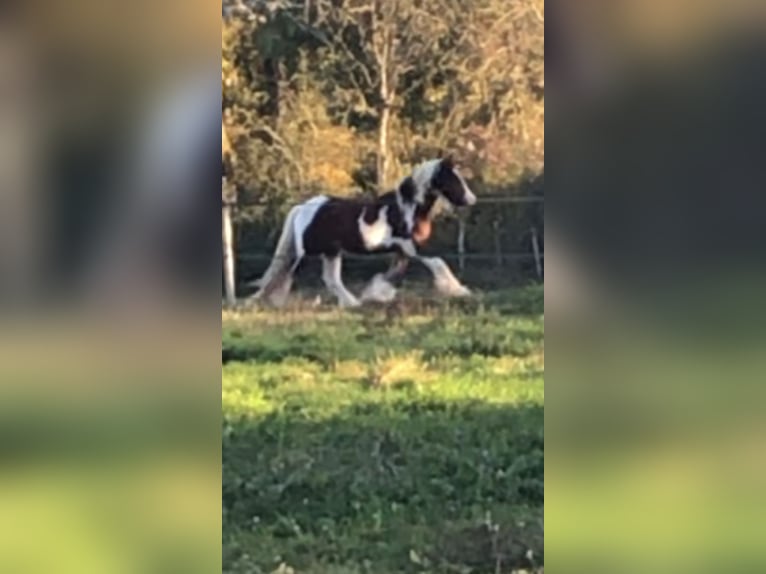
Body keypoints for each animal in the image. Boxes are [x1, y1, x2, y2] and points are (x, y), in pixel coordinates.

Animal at [252, 155, 476, 308]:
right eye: (453, 179)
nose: (471, 200)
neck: (409, 208)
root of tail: (303, 207)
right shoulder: (415, 248)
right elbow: (439, 263)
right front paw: (460, 291)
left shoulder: (402, 252)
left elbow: (392, 275)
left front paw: (375, 295)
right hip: (307, 253)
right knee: (284, 274)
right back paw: (261, 300)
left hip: (331, 252)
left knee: (331, 279)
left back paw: (352, 303)